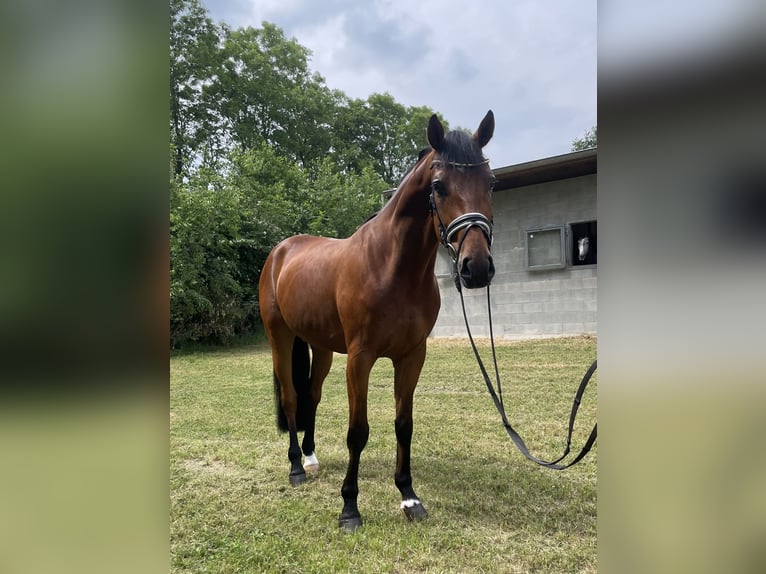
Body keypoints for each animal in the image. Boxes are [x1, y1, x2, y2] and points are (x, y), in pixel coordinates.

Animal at [258, 110, 498, 532]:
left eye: (491, 182)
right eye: (438, 186)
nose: (477, 267)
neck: (391, 267)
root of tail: (280, 251)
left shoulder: (412, 356)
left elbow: (404, 424)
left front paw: (409, 496)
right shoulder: (361, 358)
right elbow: (358, 431)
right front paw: (349, 508)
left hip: (320, 346)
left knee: (312, 396)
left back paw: (311, 458)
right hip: (280, 338)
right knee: (290, 398)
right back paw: (296, 469)